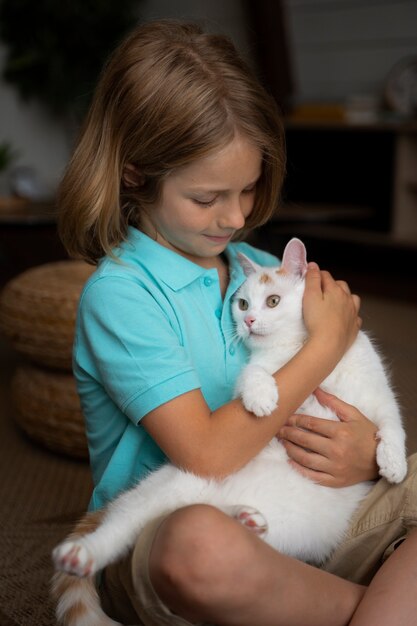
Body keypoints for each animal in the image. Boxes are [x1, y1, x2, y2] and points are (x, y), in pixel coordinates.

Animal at [50, 235, 404, 624]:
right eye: (243, 303)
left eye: (273, 301)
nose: (247, 320)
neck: (296, 346)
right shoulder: (256, 380)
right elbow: (253, 374)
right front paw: (262, 396)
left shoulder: (379, 396)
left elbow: (392, 424)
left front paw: (393, 463)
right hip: (169, 493)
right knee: (126, 528)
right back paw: (80, 555)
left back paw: (246, 519)